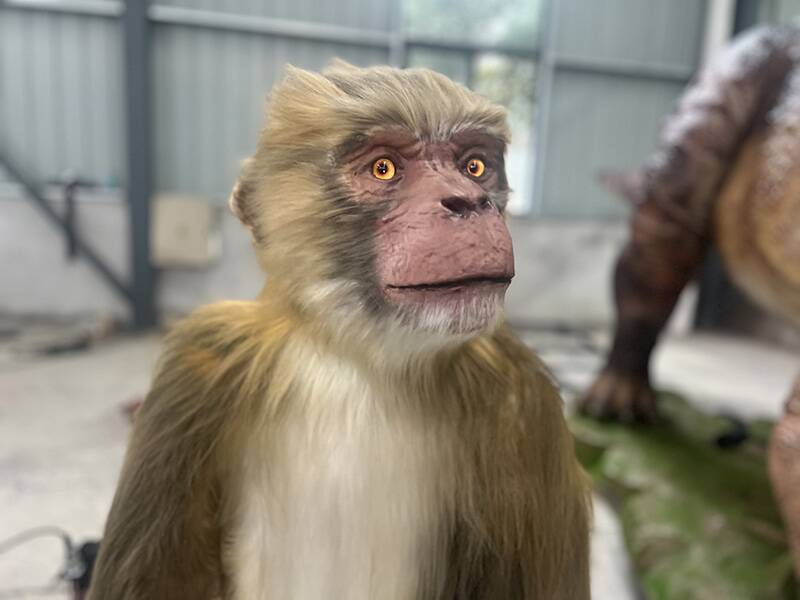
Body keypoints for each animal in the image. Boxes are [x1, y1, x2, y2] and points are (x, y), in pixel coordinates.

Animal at [88, 62, 591, 600]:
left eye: (474, 166)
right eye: (384, 168)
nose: (470, 201)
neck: (360, 360)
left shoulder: (525, 400)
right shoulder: (198, 365)